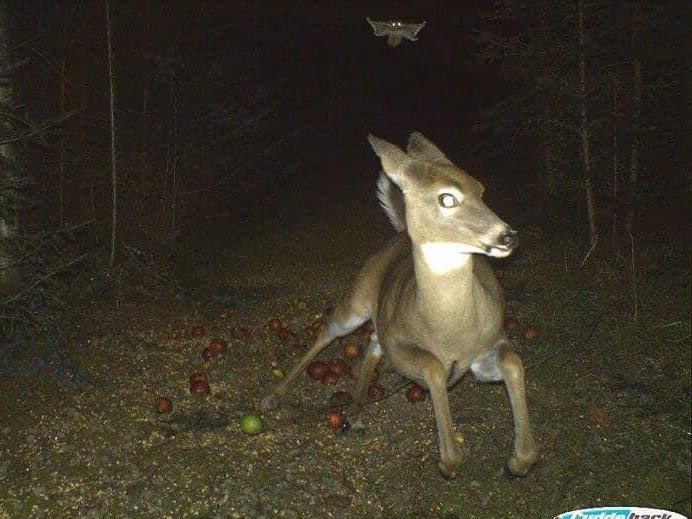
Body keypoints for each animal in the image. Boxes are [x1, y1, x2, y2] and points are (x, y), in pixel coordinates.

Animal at [261, 132, 538, 479]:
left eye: (481, 189)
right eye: (446, 198)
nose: (508, 237)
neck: (450, 330)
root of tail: (400, 233)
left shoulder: (489, 345)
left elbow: (513, 362)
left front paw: (518, 460)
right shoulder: (401, 347)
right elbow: (433, 367)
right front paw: (448, 461)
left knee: (371, 341)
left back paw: (355, 411)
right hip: (358, 297)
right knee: (330, 330)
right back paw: (273, 397)